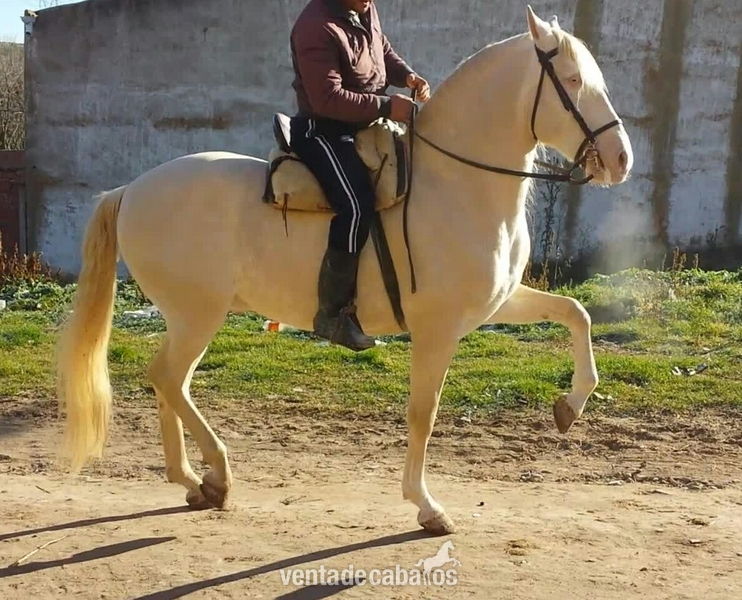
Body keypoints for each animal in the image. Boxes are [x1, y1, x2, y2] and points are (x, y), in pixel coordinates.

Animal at [56, 6, 633, 536]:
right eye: (573, 81)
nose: (621, 159)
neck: (454, 183)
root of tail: (131, 190)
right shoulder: (437, 328)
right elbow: (423, 413)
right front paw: (426, 506)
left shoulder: (498, 303)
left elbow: (576, 313)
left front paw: (570, 407)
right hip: (198, 315)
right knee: (168, 379)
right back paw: (215, 473)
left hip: (189, 318)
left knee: (172, 383)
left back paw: (199, 483)